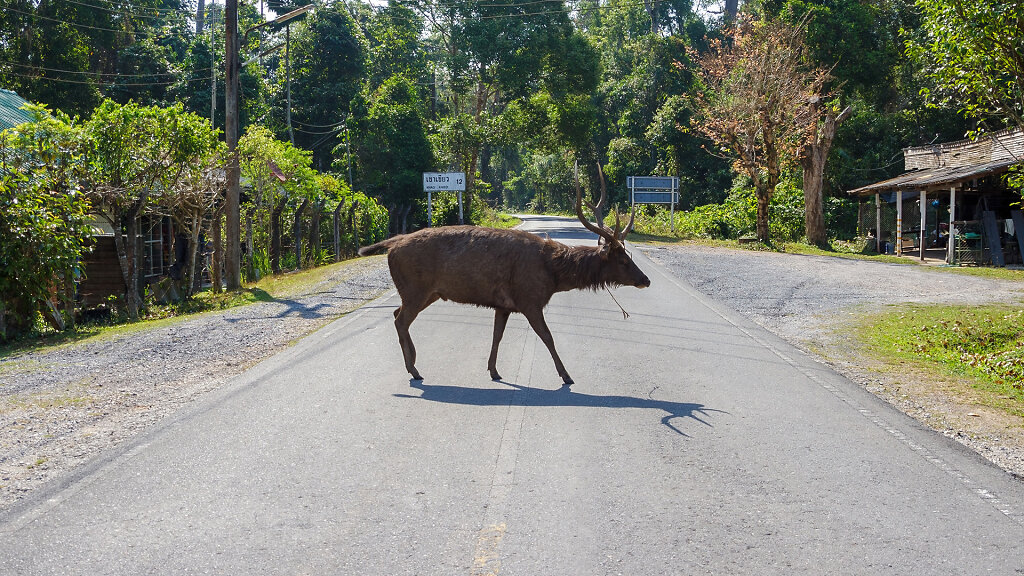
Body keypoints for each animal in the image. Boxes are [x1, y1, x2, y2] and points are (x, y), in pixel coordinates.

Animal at [360, 168, 647, 383]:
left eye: (629, 256)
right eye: (623, 260)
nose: (646, 280)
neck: (553, 275)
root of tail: (393, 243)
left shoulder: (503, 305)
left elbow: (497, 335)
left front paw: (494, 370)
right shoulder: (529, 299)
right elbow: (548, 337)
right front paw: (566, 375)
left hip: (428, 292)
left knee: (396, 314)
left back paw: (414, 362)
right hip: (415, 288)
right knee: (401, 320)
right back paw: (415, 369)